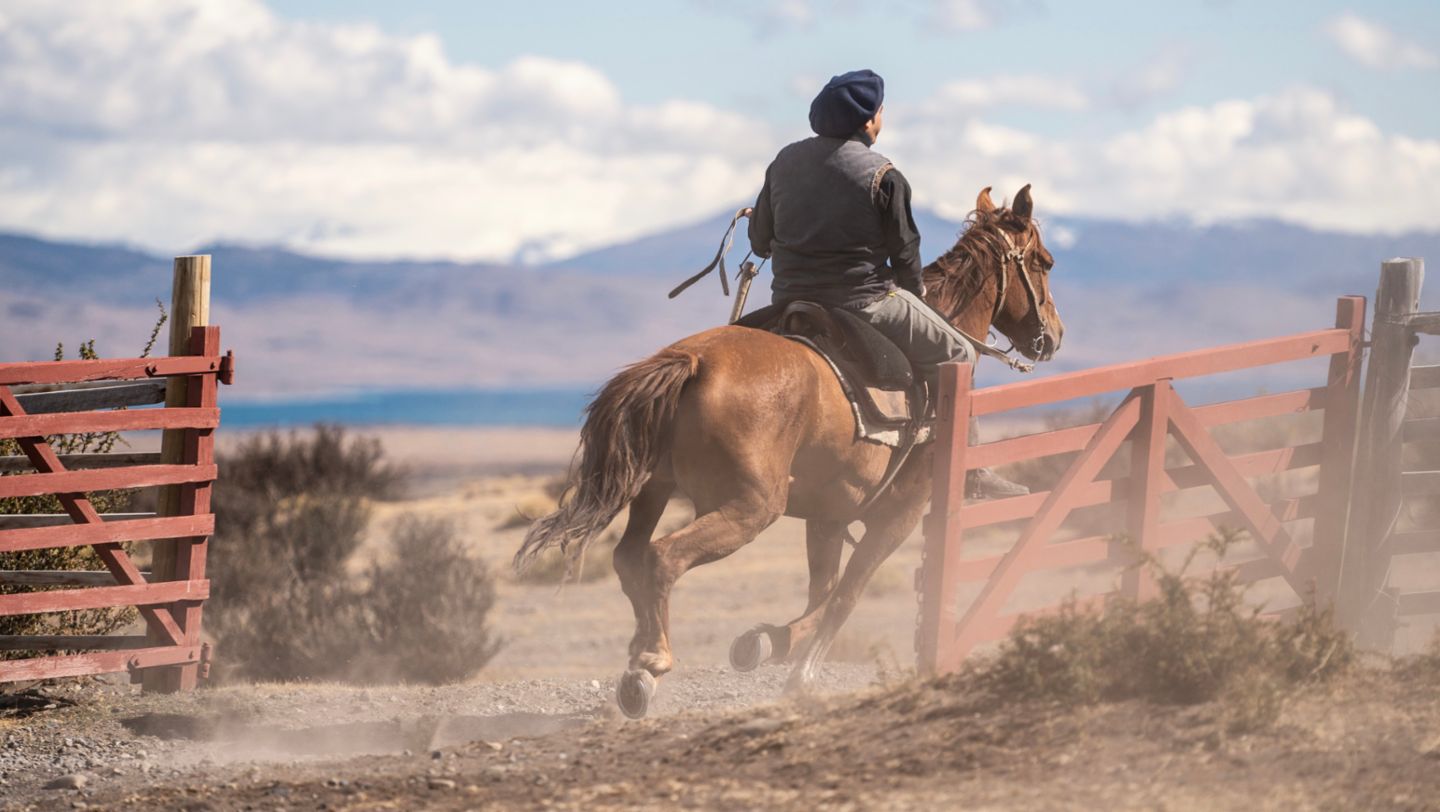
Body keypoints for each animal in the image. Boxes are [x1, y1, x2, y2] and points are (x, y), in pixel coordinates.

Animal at [515, 184, 1059, 716]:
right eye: (1044, 262)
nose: (1053, 336)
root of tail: (690, 360)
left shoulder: (829, 515)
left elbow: (824, 589)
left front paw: (767, 643)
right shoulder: (899, 514)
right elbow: (847, 593)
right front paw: (801, 673)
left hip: (656, 489)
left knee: (629, 558)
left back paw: (640, 662)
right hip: (751, 507)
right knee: (663, 558)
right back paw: (652, 662)